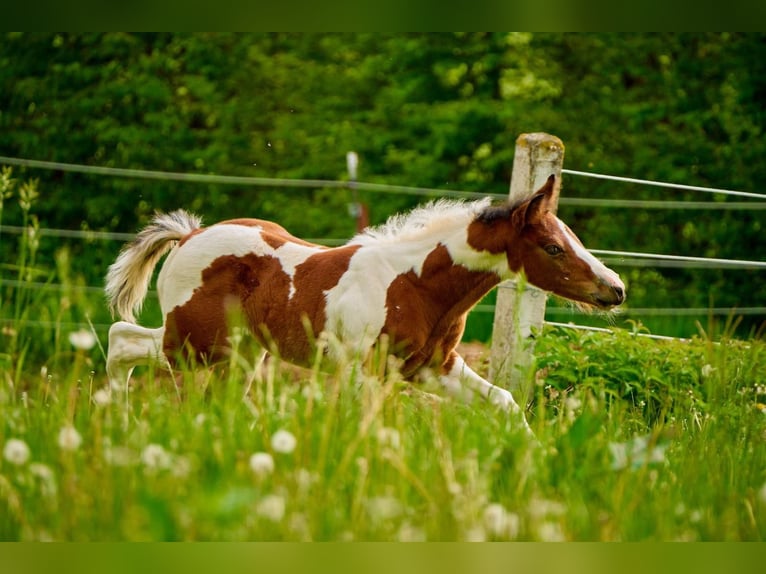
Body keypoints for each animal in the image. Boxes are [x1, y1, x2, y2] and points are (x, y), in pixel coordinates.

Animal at [106, 178, 624, 434]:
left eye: (571, 237)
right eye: (553, 248)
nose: (615, 289)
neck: (415, 283)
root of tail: (190, 235)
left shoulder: (434, 368)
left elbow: (504, 403)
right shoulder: (364, 371)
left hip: (242, 354)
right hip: (193, 343)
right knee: (120, 341)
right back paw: (115, 423)